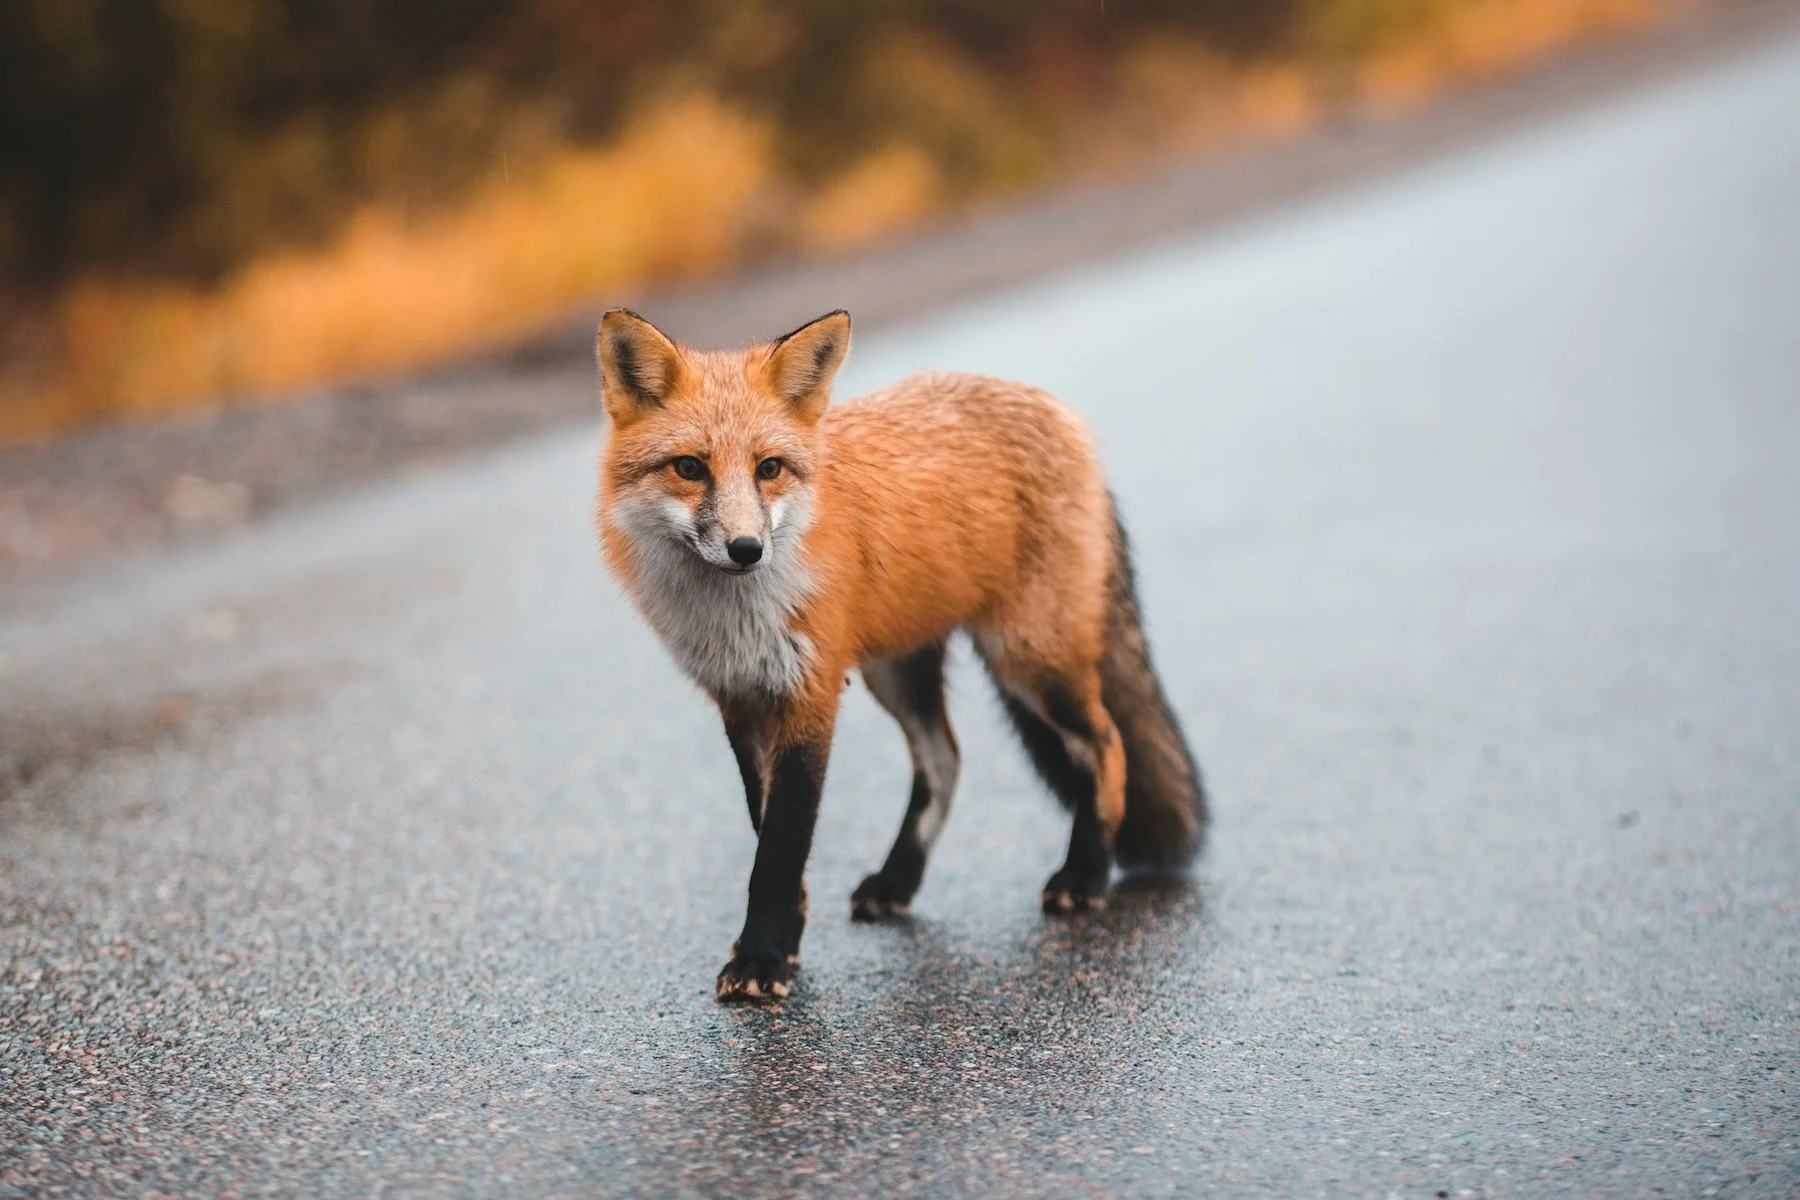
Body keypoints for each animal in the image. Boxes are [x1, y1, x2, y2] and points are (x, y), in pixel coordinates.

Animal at [594, 307, 1205, 1001]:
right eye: (690, 468)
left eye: (768, 468)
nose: (747, 549)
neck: (736, 618)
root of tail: (1055, 408)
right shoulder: (740, 699)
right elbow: (765, 829)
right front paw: (786, 939)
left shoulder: (811, 694)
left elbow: (780, 847)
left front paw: (762, 958)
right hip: (899, 671)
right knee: (945, 759)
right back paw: (898, 881)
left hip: (1028, 659)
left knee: (1105, 745)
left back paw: (1085, 875)